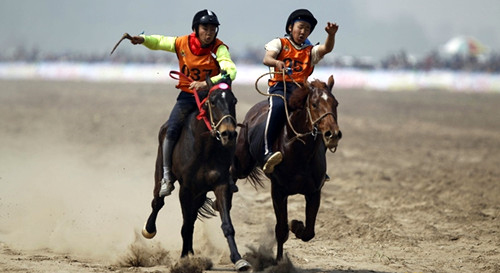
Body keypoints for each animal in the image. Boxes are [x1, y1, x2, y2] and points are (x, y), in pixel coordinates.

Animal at [143, 72, 252, 270]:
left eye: (234, 101)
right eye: (212, 102)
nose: (228, 133)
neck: (205, 149)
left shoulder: (220, 185)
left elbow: (226, 225)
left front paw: (239, 259)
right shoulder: (186, 188)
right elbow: (185, 225)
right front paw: (184, 259)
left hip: (200, 193)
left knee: (191, 217)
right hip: (160, 173)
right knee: (158, 202)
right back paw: (149, 229)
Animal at [229, 74, 340, 260]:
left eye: (335, 103)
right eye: (314, 104)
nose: (333, 134)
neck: (299, 151)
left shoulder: (314, 192)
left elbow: (309, 232)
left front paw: (296, 225)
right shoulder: (278, 191)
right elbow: (281, 230)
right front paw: (280, 261)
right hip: (243, 164)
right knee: (232, 172)